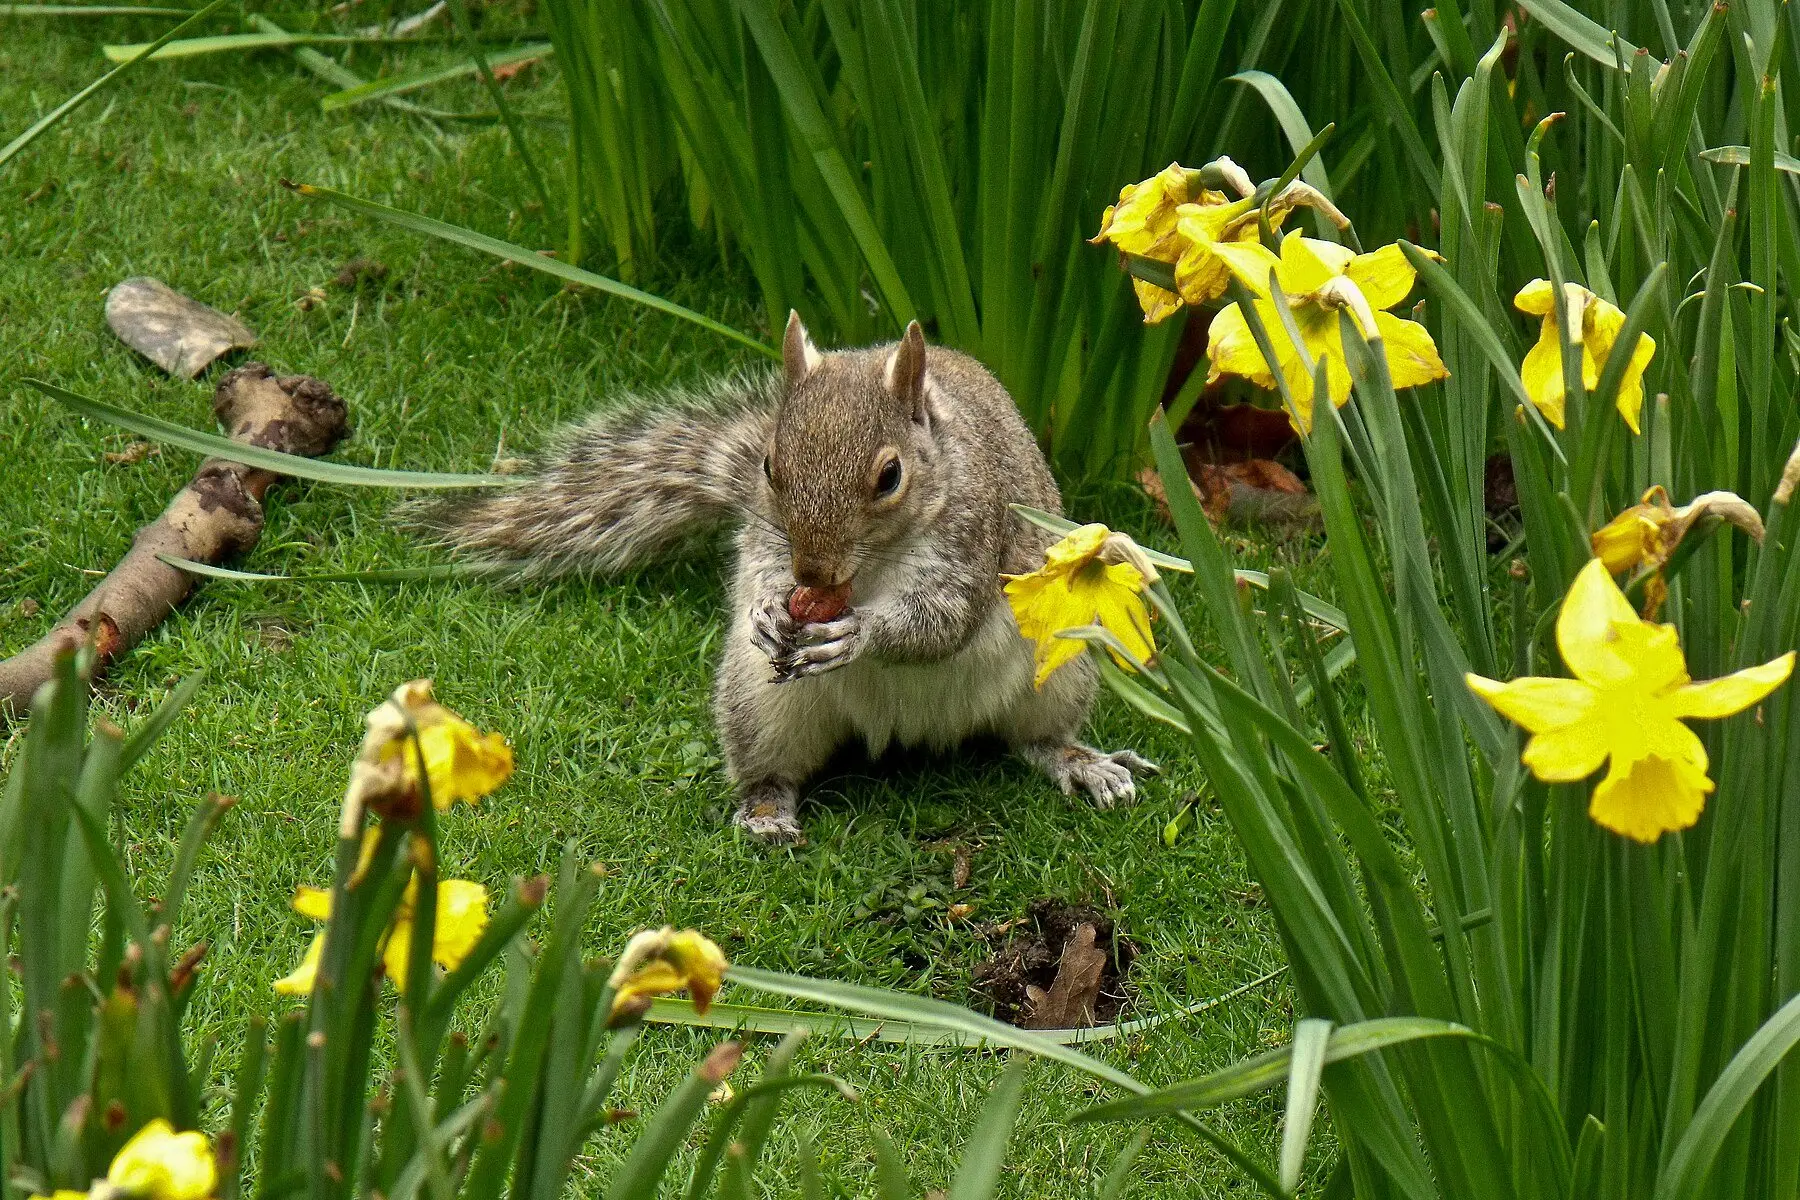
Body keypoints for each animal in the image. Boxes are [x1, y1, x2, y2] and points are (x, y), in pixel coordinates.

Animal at [418, 313, 1155, 842]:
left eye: (890, 476)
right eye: (769, 466)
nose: (813, 572)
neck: (870, 566)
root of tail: (909, 732)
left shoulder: (977, 535)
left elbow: (943, 619)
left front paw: (860, 633)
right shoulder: (766, 535)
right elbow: (759, 569)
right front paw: (768, 608)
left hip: (1061, 667)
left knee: (1036, 738)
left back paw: (1084, 763)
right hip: (758, 702)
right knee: (772, 767)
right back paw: (767, 810)